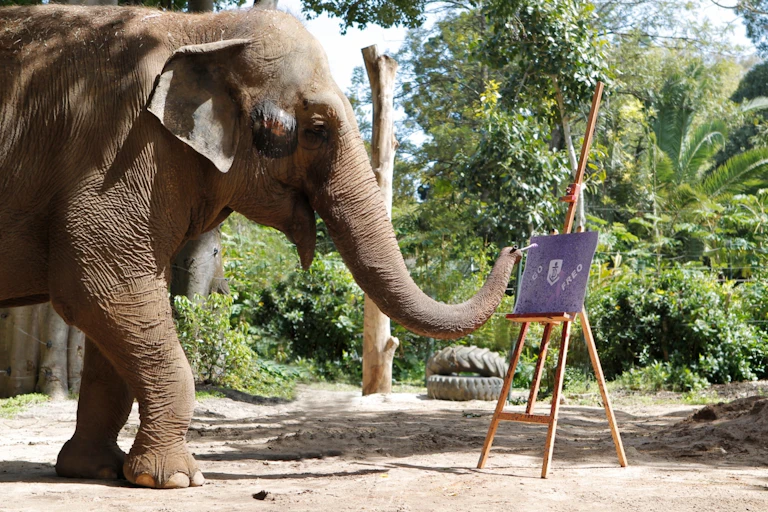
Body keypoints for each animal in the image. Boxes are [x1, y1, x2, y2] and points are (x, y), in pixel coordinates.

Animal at [0, 5, 522, 489]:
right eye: (317, 129)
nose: (516, 248)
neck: (202, 29)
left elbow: (111, 313)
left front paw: (97, 470)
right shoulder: (118, 152)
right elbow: (100, 288)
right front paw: (173, 480)